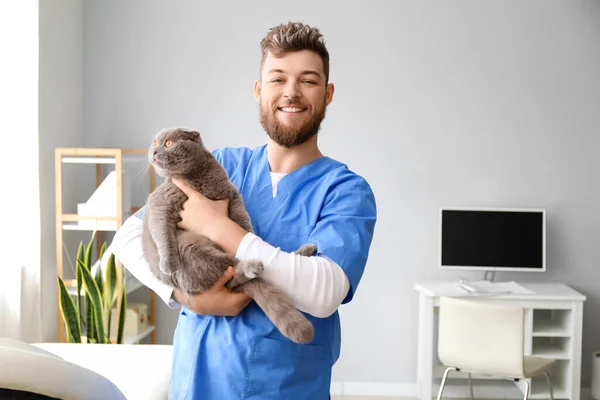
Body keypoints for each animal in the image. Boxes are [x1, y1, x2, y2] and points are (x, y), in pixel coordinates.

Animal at [142, 127, 316, 344]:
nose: (154, 152)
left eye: (168, 143)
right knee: (231, 269)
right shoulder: (161, 203)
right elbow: (161, 233)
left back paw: (303, 251)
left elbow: (242, 218)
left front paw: (249, 234)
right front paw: (168, 264)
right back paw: (253, 267)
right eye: (154, 144)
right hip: (190, 249)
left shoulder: (231, 195)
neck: (197, 177)